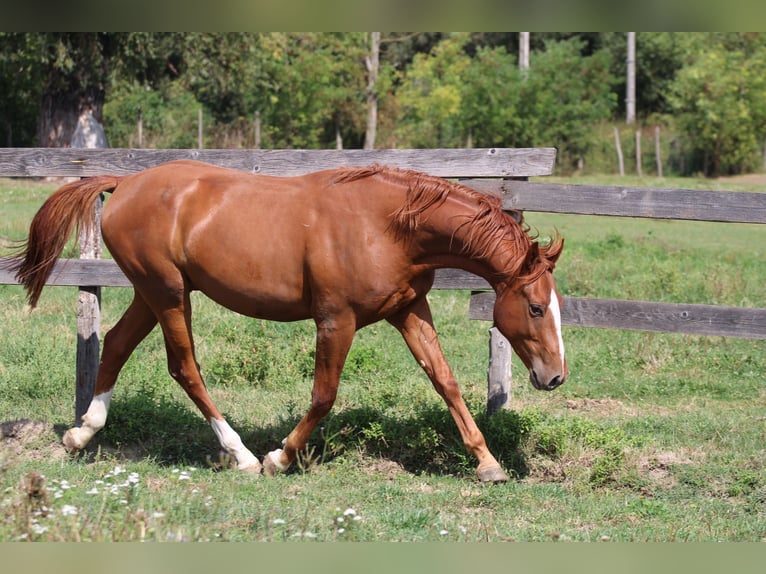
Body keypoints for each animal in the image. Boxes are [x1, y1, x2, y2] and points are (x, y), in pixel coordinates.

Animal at [6, 160, 566, 483]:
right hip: (167, 294)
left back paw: (81, 434)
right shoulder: (336, 320)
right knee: (184, 366)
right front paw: (280, 458)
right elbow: (324, 395)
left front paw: (488, 464)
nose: (555, 377)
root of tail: (124, 183)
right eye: (536, 307)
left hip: (155, 292)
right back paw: (242, 456)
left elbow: (445, 381)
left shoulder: (409, 310)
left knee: (118, 344)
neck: (388, 225)